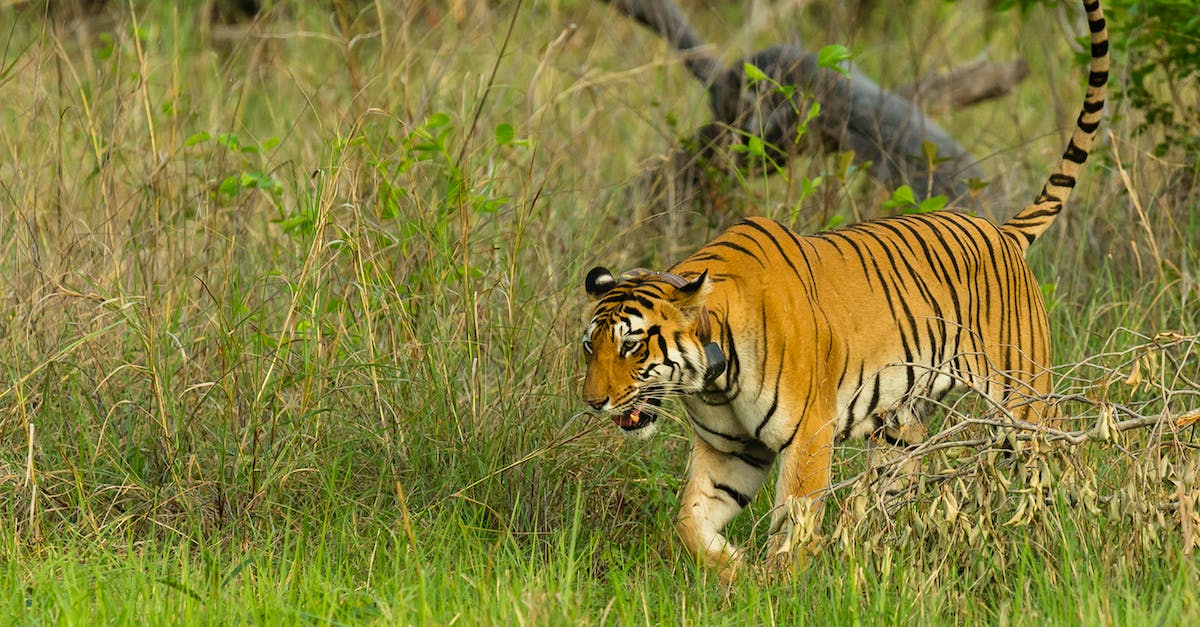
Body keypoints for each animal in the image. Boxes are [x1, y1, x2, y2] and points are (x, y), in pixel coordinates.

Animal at [580, 0, 1108, 580]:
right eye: (590, 347)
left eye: (632, 345)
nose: (593, 402)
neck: (712, 377)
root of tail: (1000, 230)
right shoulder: (730, 451)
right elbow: (689, 521)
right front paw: (732, 569)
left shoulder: (808, 434)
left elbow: (794, 522)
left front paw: (780, 583)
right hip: (899, 428)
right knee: (890, 493)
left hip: (1024, 401)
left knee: (1068, 459)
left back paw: (1084, 539)